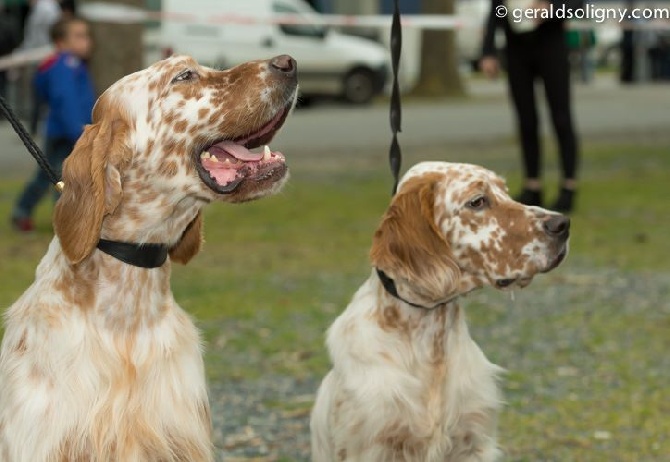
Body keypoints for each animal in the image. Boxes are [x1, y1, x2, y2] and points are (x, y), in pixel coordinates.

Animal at [312, 161, 572, 460]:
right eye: (478, 201)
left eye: (506, 193)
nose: (563, 223)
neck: (431, 345)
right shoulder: (370, 446)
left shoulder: (474, 441)